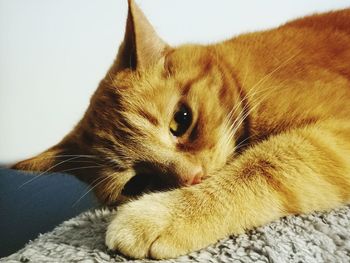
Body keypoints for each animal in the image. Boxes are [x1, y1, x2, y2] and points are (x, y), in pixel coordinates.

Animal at [12, 0, 348, 260]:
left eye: (181, 120)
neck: (239, 77)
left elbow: (264, 164)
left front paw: (164, 215)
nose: (193, 178)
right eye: (137, 183)